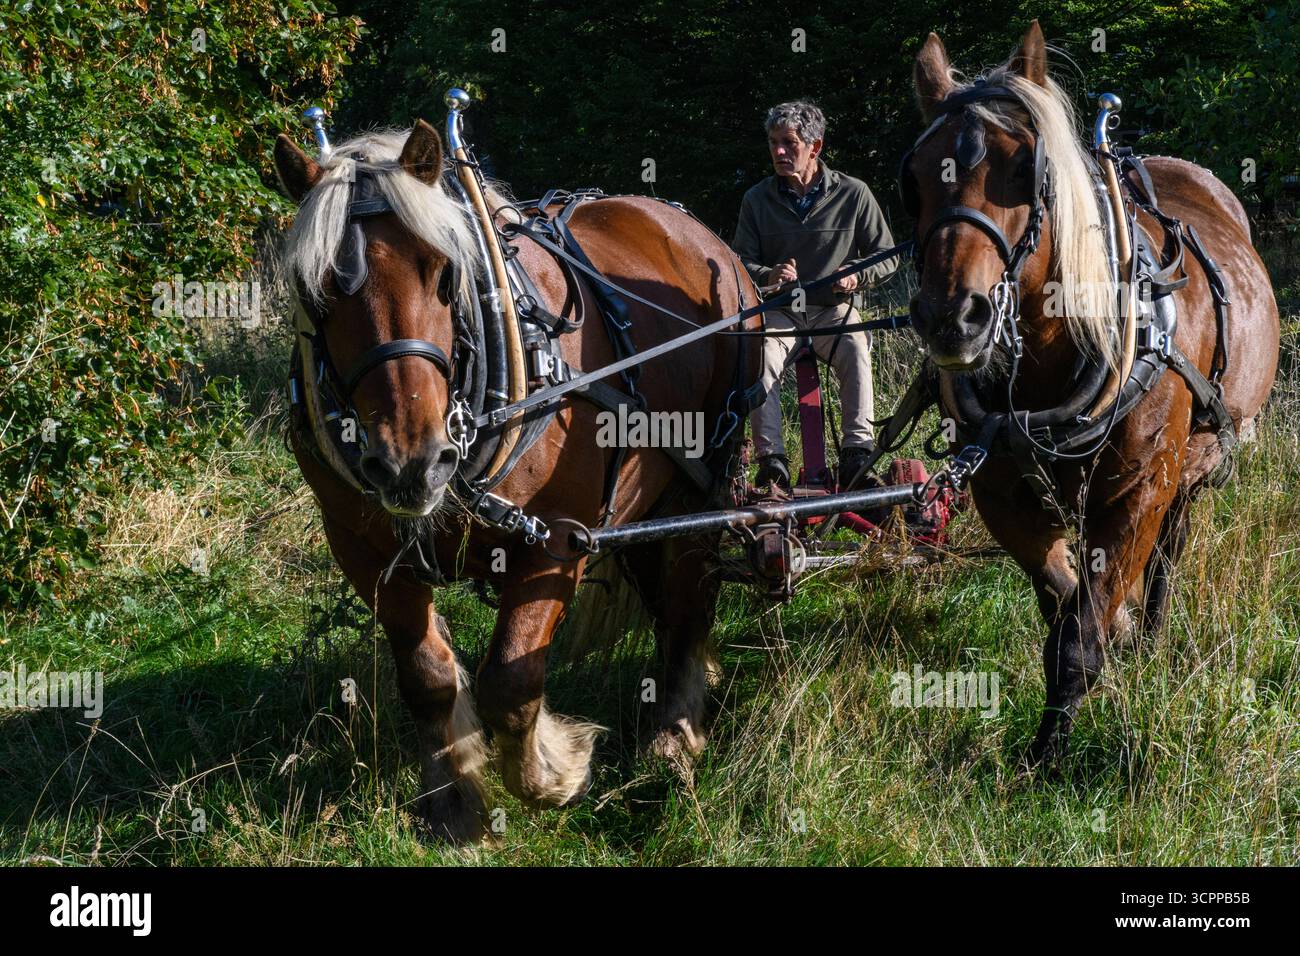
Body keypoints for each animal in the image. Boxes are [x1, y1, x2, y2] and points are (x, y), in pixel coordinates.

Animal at [272, 120, 760, 841]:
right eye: (317, 293)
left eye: (444, 273)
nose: (411, 461)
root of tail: (689, 227)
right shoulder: (363, 548)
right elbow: (427, 678)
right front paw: (452, 805)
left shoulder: (556, 541)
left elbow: (509, 679)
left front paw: (554, 775)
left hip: (705, 478)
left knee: (686, 604)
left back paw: (672, 739)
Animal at [902, 21, 1279, 763]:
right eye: (917, 175)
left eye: (1028, 168)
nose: (952, 317)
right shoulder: (1005, 496)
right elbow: (1064, 600)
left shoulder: (1139, 492)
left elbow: (1079, 637)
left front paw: (1049, 753)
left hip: (1191, 468)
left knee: (1169, 554)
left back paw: (1153, 632)